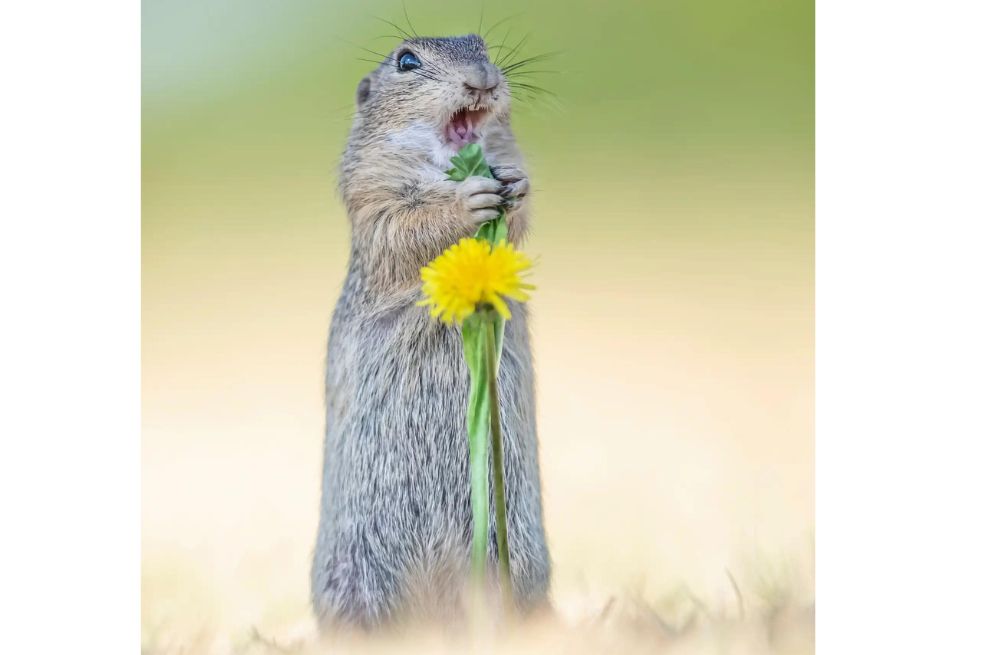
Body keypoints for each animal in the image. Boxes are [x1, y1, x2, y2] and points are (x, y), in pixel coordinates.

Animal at [310, 34, 551, 629]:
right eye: (407, 61)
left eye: (482, 45)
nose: (483, 78)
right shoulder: (373, 198)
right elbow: (405, 226)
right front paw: (467, 202)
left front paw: (515, 184)